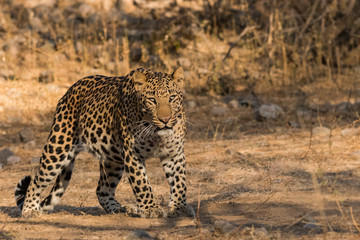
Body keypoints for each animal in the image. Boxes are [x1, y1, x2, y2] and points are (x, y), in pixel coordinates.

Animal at [14, 66, 194, 218]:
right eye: (152, 100)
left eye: (172, 98)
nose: (165, 119)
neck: (156, 135)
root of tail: (69, 91)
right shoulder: (132, 154)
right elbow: (142, 183)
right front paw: (151, 209)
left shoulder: (174, 153)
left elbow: (179, 181)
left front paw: (179, 208)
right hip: (58, 148)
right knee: (36, 180)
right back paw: (29, 210)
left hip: (113, 160)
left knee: (102, 190)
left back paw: (120, 209)